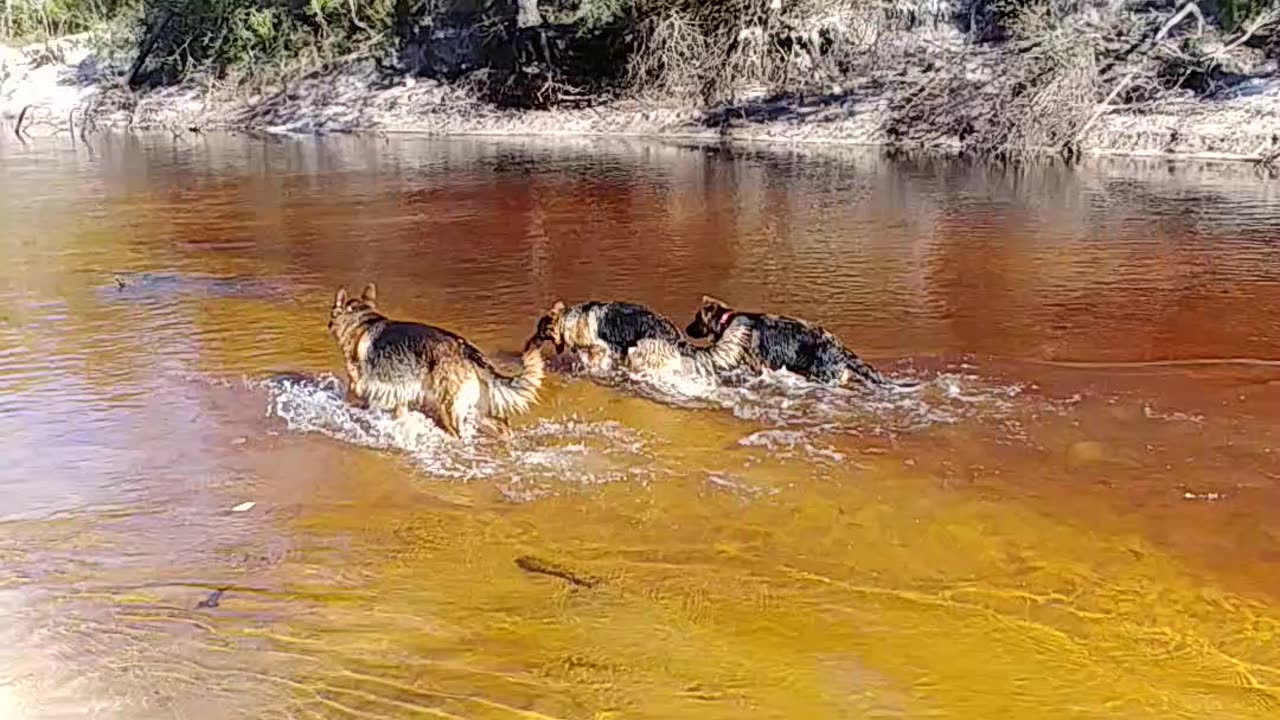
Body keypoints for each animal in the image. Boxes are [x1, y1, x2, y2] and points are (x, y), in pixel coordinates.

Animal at [327, 283, 542, 435]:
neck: (361, 320)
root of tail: (467, 350)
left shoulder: (356, 387)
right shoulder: (400, 395)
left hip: (448, 411)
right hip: (479, 411)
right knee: (503, 428)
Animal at [524, 298, 747, 379]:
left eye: (538, 331)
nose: (526, 344)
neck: (571, 321)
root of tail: (676, 335)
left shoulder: (603, 348)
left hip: (640, 350)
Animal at [680, 294, 911, 389]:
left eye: (696, 319)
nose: (685, 329)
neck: (727, 321)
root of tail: (840, 348)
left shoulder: (754, 365)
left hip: (822, 373)